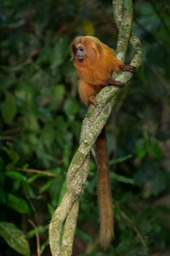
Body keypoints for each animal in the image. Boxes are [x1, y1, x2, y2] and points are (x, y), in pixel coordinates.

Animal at [70, 35, 135, 249]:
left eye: (81, 49)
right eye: (76, 49)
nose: (78, 54)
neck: (91, 60)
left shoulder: (105, 54)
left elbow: (114, 63)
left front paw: (122, 68)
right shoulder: (81, 68)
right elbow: (88, 78)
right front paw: (109, 81)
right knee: (83, 84)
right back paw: (92, 98)